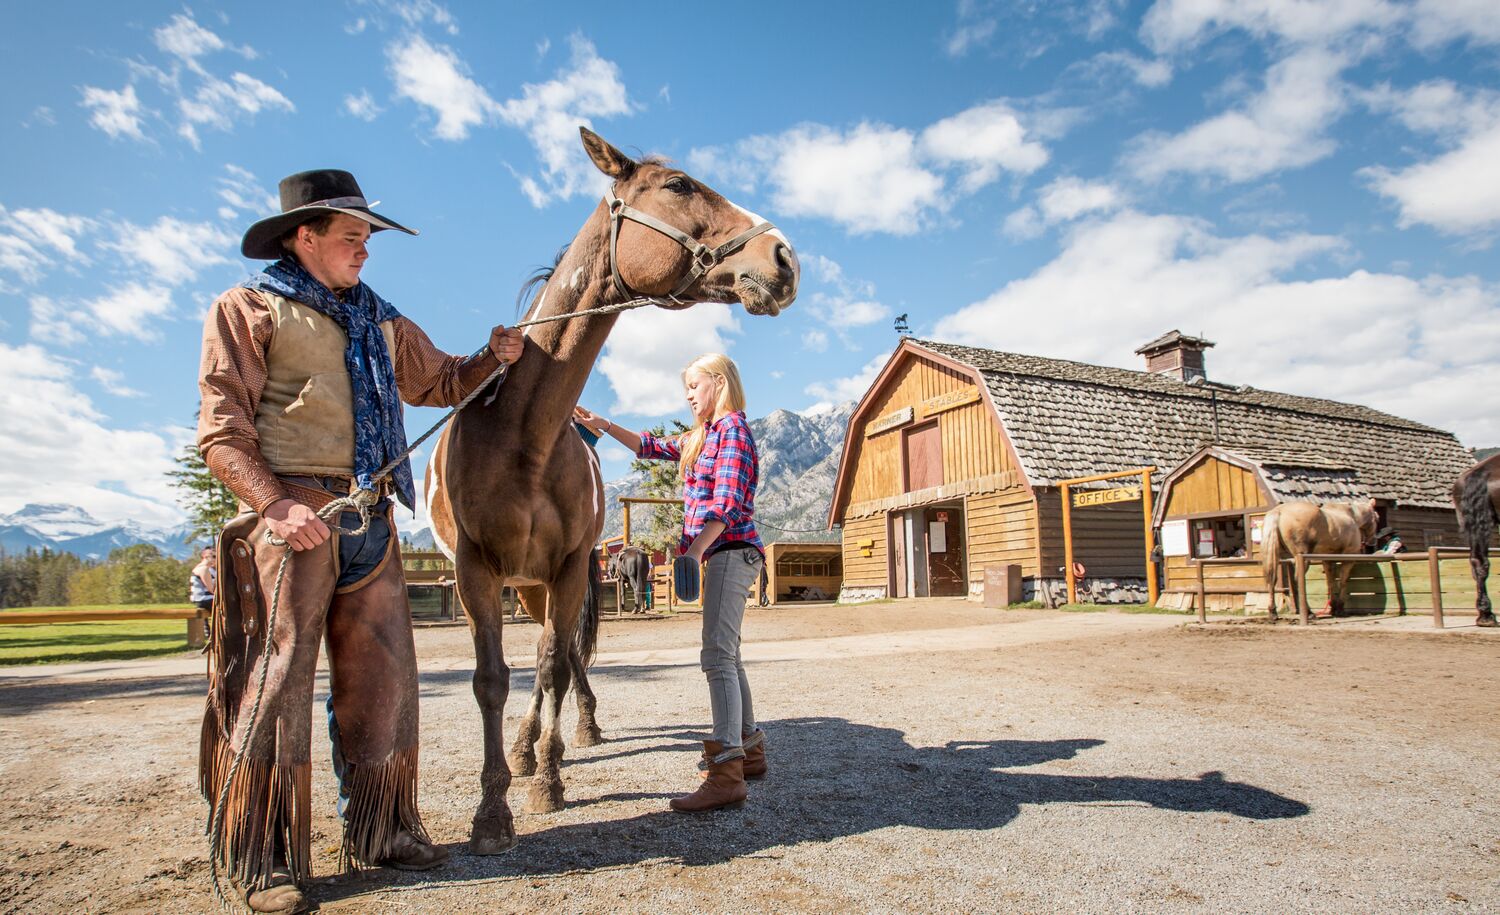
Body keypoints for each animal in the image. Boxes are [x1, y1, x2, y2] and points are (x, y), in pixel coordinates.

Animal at [423, 129, 798, 852]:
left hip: (547, 581)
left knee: (562, 655)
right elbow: (490, 679)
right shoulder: (477, 569)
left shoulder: (571, 566)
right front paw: (493, 808)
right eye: (679, 184)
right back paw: (525, 745)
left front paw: (546, 779)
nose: (784, 257)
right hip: (523, 583)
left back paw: (562, 735)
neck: (524, 434)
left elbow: (553, 665)